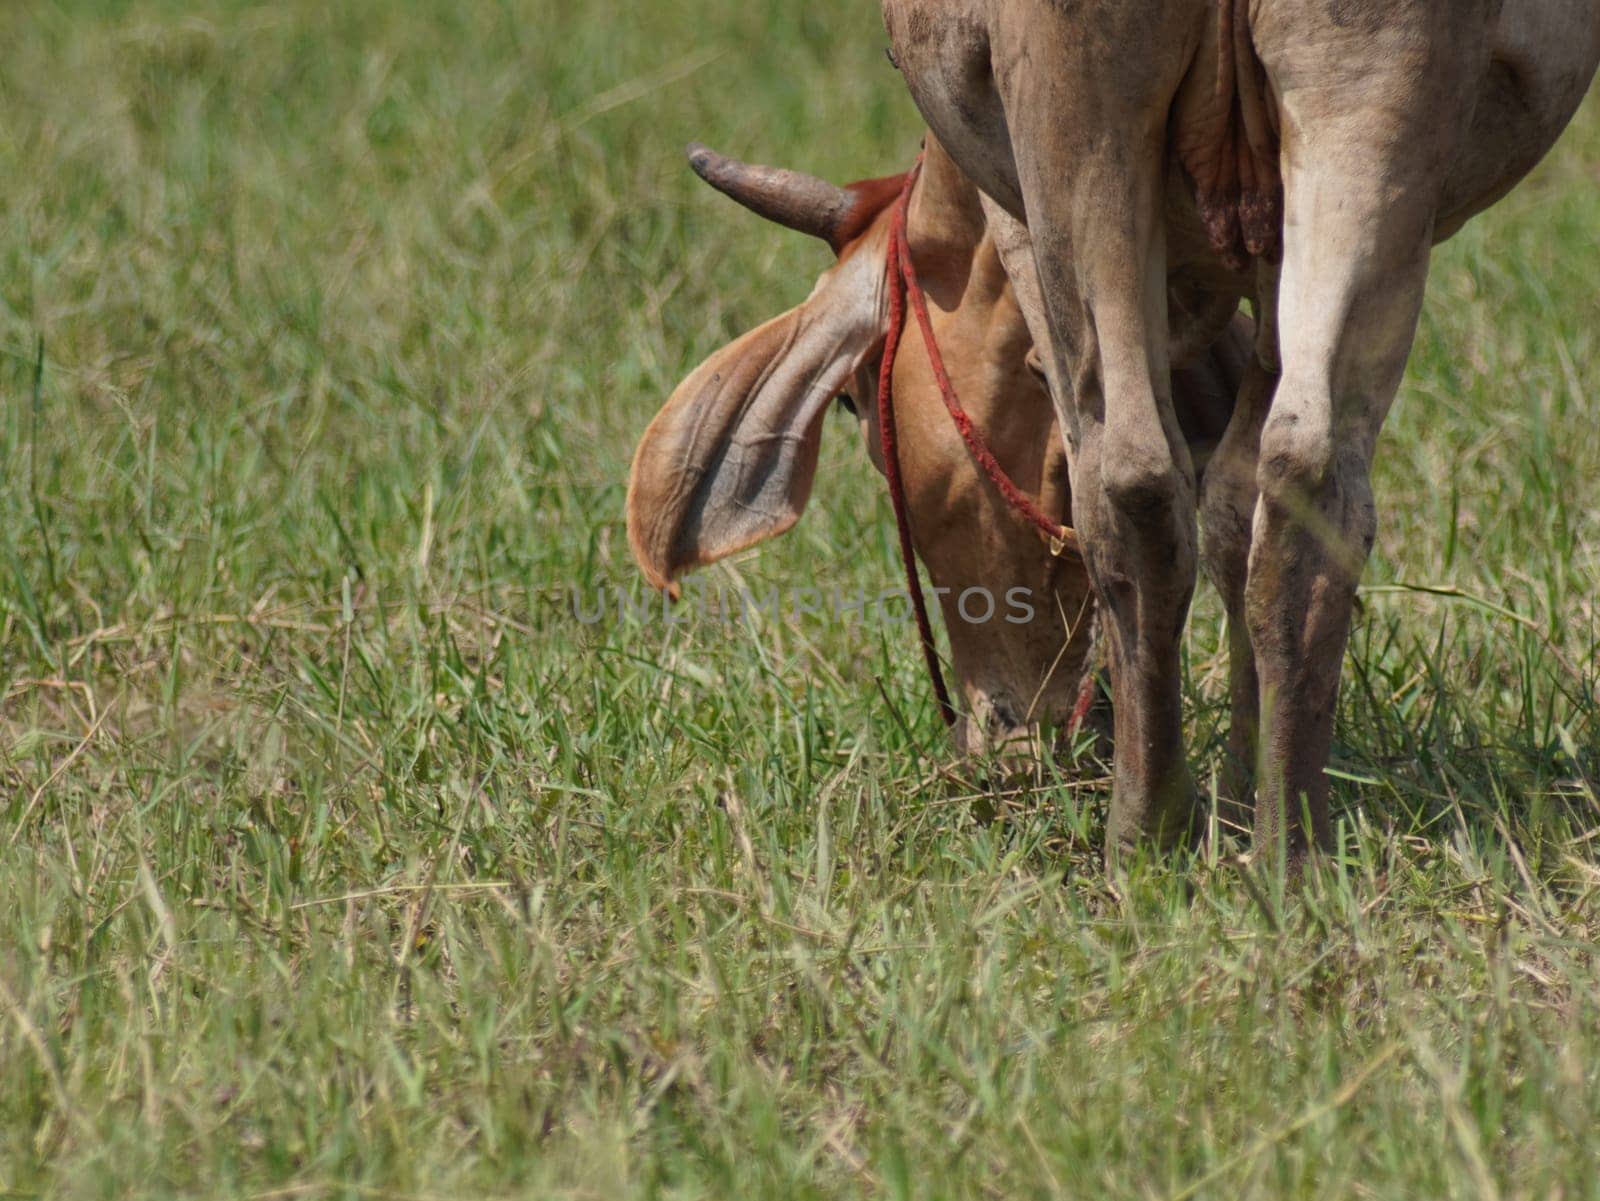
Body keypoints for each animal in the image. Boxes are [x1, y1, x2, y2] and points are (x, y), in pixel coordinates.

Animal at [883, 0, 1600, 857]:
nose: (998, 739)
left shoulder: (1012, 214)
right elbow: (1234, 505)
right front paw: (1237, 792)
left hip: (1071, 125)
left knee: (1130, 475)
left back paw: (1147, 830)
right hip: (1363, 100)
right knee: (1304, 476)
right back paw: (1287, 842)